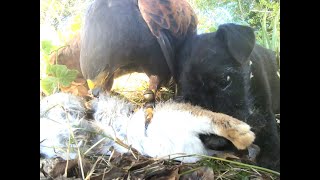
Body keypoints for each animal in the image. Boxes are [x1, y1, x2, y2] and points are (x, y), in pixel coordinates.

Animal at [175, 23, 280, 171]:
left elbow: (269, 129)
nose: (214, 141)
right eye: (190, 101)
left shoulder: (264, 108)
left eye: (225, 80)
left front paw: (272, 159)